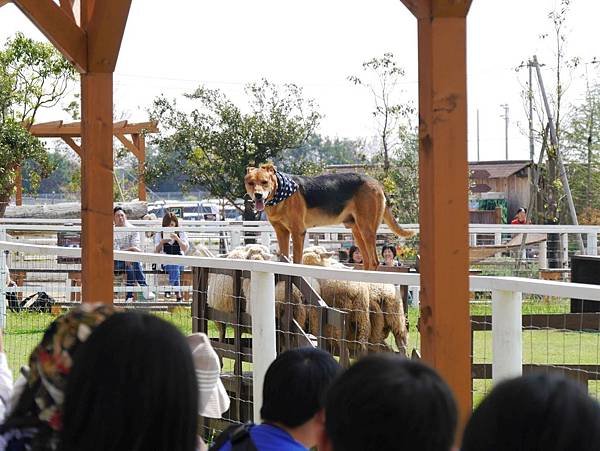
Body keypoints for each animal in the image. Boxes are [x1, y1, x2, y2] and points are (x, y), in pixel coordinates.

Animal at [244, 164, 412, 270]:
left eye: (264, 182)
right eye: (251, 183)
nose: (258, 195)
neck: (280, 193)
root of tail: (377, 183)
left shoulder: (298, 232)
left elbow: (297, 260)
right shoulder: (281, 232)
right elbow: (284, 259)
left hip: (367, 230)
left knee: (375, 261)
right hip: (357, 231)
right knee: (368, 262)